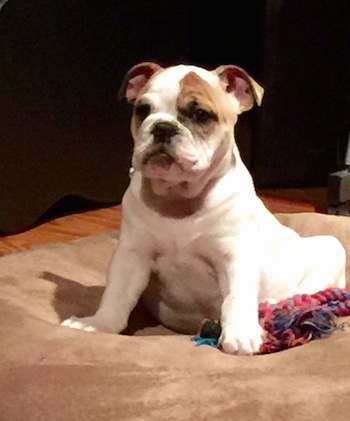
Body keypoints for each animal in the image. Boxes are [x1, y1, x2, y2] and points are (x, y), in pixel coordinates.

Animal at [61, 60, 346, 352]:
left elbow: (236, 297)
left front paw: (241, 333)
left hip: (331, 247)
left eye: (201, 114)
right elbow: (116, 294)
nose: (163, 127)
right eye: (142, 110)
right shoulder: (132, 254)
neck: (178, 197)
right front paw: (98, 325)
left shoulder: (235, 256)